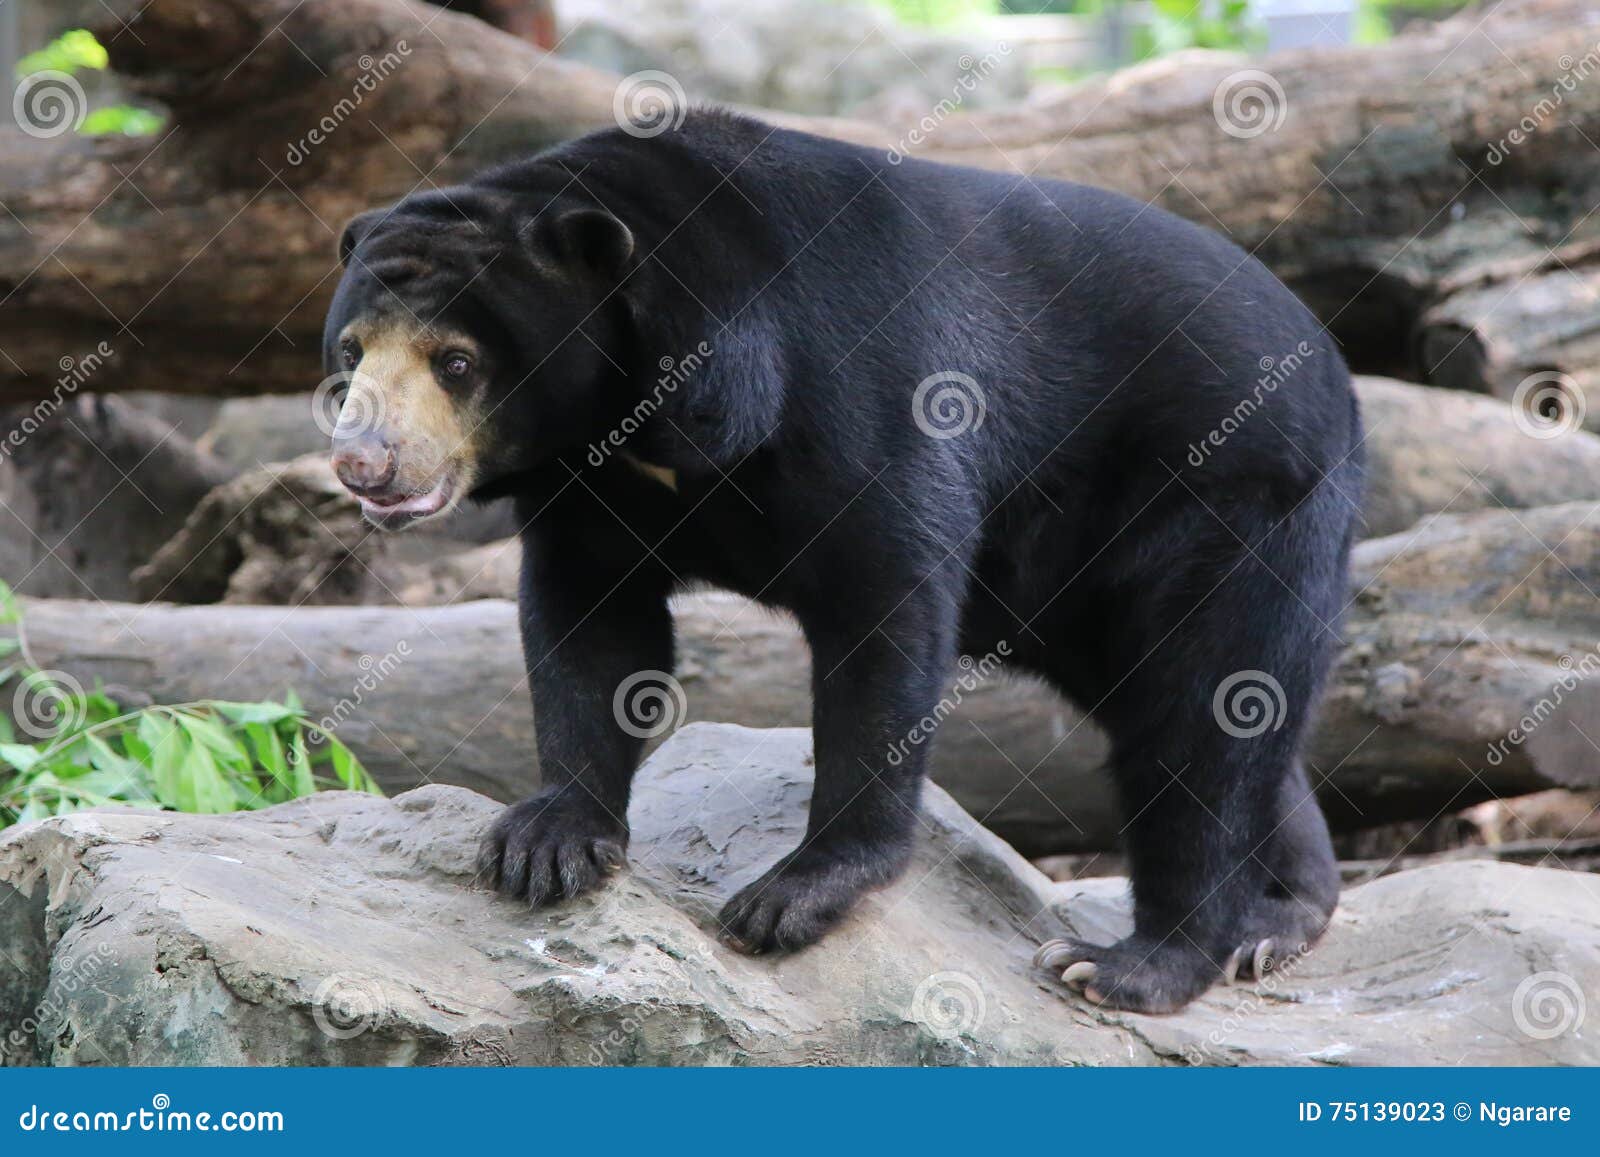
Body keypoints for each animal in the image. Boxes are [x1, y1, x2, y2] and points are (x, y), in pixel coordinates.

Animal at [323, 108, 1360, 1014]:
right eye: (351, 354)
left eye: (457, 362)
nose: (362, 463)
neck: (649, 419)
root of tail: (1332, 359)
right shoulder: (591, 493)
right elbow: (590, 622)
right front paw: (546, 842)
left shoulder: (853, 390)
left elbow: (886, 614)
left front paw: (789, 896)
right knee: (1212, 714)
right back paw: (1276, 917)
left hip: (1233, 500)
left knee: (1205, 705)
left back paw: (1135, 962)